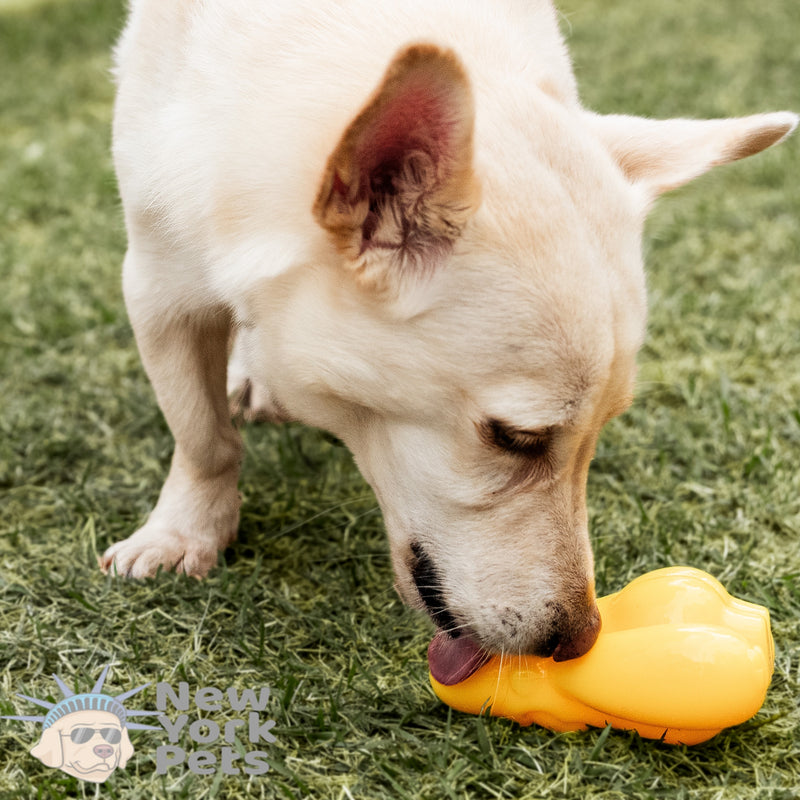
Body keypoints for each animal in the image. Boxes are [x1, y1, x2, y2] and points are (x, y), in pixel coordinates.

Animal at [103, 0, 796, 680]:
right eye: (516, 438)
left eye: (600, 431)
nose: (580, 641)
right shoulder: (156, 283)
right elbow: (203, 436)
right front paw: (183, 534)